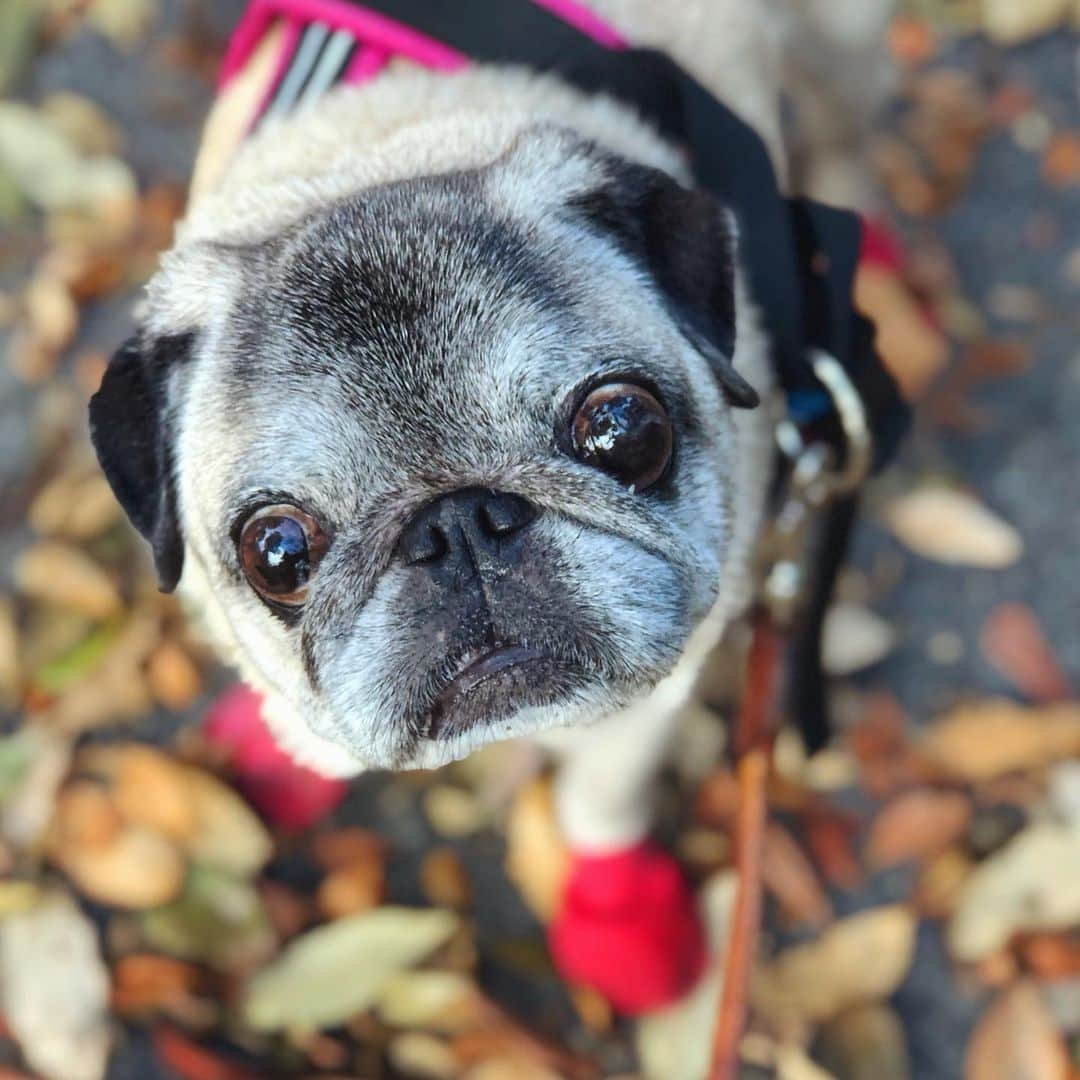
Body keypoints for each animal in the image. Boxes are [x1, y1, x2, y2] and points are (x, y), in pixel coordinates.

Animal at [88, 0, 889, 1010]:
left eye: (623, 429)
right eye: (277, 553)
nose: (459, 521)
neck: (379, 147)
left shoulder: (645, 705)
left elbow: (601, 802)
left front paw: (617, 911)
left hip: (843, 48)